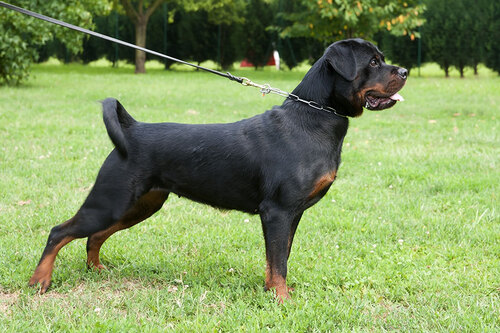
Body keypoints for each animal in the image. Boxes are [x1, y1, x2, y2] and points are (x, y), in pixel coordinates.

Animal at [29, 37, 408, 300]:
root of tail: (131, 129)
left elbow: (279, 257)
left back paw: (96, 269)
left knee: (94, 235)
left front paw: (272, 292)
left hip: (140, 204)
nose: (404, 71)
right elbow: (278, 261)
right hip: (110, 200)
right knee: (59, 232)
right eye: (374, 62)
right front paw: (282, 299)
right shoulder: (277, 211)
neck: (314, 117)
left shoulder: (293, 214)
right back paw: (40, 281)